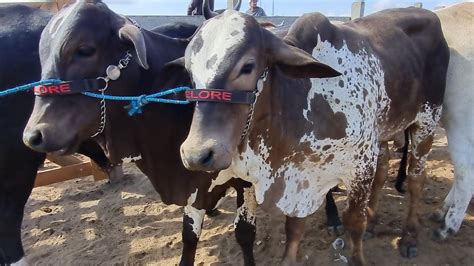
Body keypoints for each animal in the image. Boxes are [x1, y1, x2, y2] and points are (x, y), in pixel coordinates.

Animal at [178, 5, 448, 264]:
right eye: (189, 72)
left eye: (247, 66)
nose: (196, 154)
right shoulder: (302, 175)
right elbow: (294, 228)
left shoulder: (360, 165)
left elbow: (353, 221)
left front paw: (358, 256)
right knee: (382, 172)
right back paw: (373, 223)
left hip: (426, 120)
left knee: (415, 179)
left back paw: (410, 237)